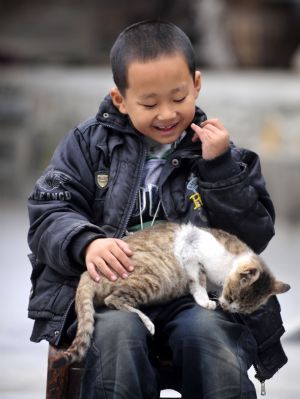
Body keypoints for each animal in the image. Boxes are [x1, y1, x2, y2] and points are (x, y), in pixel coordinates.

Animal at [53, 223, 288, 368]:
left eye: (242, 308)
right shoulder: (192, 254)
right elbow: (198, 281)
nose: (227, 308)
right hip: (155, 277)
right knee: (114, 299)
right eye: (232, 297)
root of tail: (87, 272)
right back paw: (147, 322)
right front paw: (204, 300)